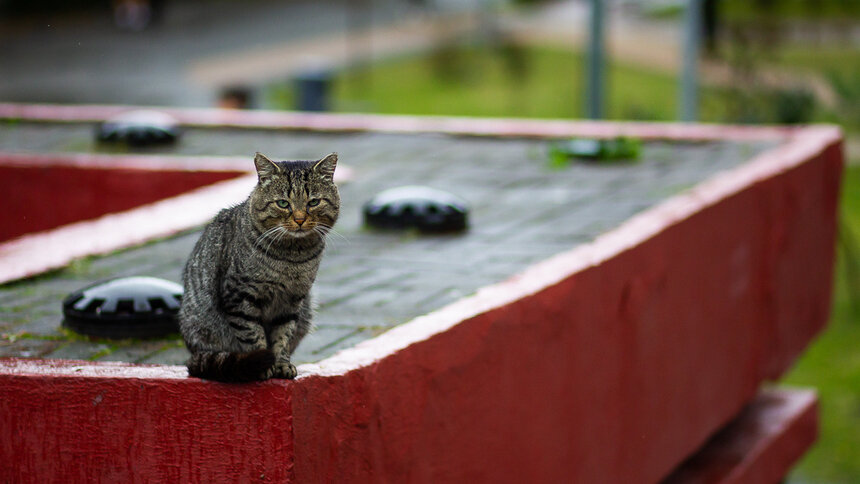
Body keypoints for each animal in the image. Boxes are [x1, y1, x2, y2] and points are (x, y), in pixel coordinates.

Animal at [179, 151, 340, 382]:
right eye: (283, 203)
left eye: (314, 202)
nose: (300, 219)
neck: (293, 257)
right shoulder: (240, 297)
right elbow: (254, 336)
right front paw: (265, 366)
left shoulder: (292, 301)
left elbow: (282, 336)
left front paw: (281, 364)